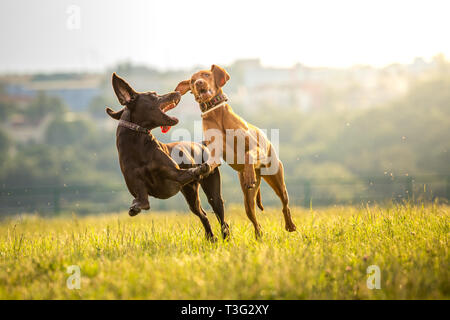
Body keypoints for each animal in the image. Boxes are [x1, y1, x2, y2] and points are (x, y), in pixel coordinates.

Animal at [105, 73, 229, 240]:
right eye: (153, 95)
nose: (176, 92)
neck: (139, 147)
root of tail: (201, 144)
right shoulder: (137, 186)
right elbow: (142, 201)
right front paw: (135, 207)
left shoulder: (176, 174)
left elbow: (190, 172)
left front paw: (201, 168)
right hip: (190, 194)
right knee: (203, 215)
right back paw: (211, 238)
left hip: (212, 193)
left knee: (221, 217)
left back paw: (225, 236)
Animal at [177, 64, 298, 238]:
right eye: (192, 81)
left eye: (206, 75)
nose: (199, 83)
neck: (216, 112)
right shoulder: (215, 153)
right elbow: (210, 162)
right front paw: (201, 168)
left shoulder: (256, 148)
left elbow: (248, 154)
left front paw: (249, 174)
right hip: (248, 200)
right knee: (255, 220)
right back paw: (259, 236)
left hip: (277, 179)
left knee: (285, 204)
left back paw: (289, 225)